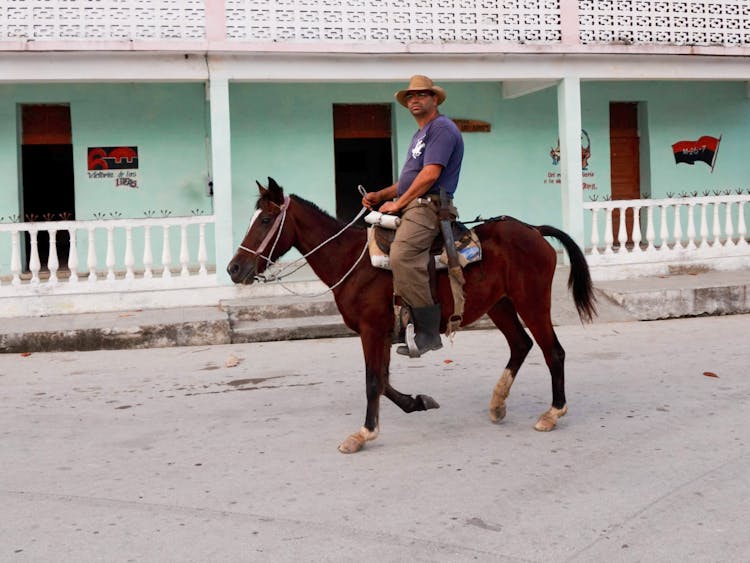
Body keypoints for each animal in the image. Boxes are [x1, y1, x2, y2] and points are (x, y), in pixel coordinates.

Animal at [226, 180, 596, 454]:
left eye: (264, 220)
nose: (234, 268)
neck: (352, 261)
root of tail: (533, 229)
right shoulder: (384, 331)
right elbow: (384, 380)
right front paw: (417, 402)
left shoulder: (371, 330)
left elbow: (373, 381)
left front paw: (364, 433)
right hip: (500, 305)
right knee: (521, 345)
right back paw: (498, 404)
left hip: (532, 302)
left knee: (553, 352)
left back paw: (553, 413)